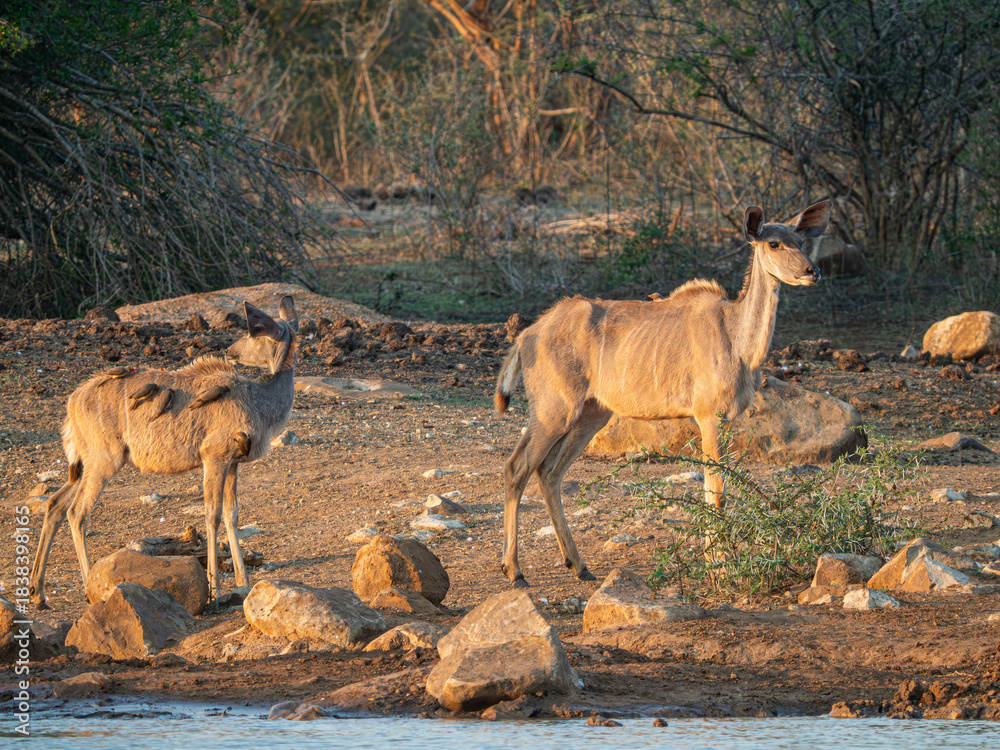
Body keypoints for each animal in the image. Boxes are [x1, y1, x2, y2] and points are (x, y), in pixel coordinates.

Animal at [29, 296, 299, 608]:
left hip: (84, 466)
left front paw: (243, 583)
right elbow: (212, 514)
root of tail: (72, 401)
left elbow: (232, 515)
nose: (230, 351)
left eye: (253, 332)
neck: (259, 401)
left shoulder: (232, 463)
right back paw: (87, 589)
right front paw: (215, 590)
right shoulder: (214, 457)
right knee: (77, 512)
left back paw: (38, 593)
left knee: (55, 504)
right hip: (103, 462)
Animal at [494, 201, 831, 587]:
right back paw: (515, 570)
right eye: (774, 243)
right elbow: (717, 492)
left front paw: (714, 562)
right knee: (517, 467)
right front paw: (719, 568)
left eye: (801, 240)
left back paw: (579, 566)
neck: (736, 338)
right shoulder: (709, 416)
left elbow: (711, 488)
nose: (812, 271)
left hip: (591, 414)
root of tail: (528, 334)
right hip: (554, 410)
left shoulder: (722, 420)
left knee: (550, 472)